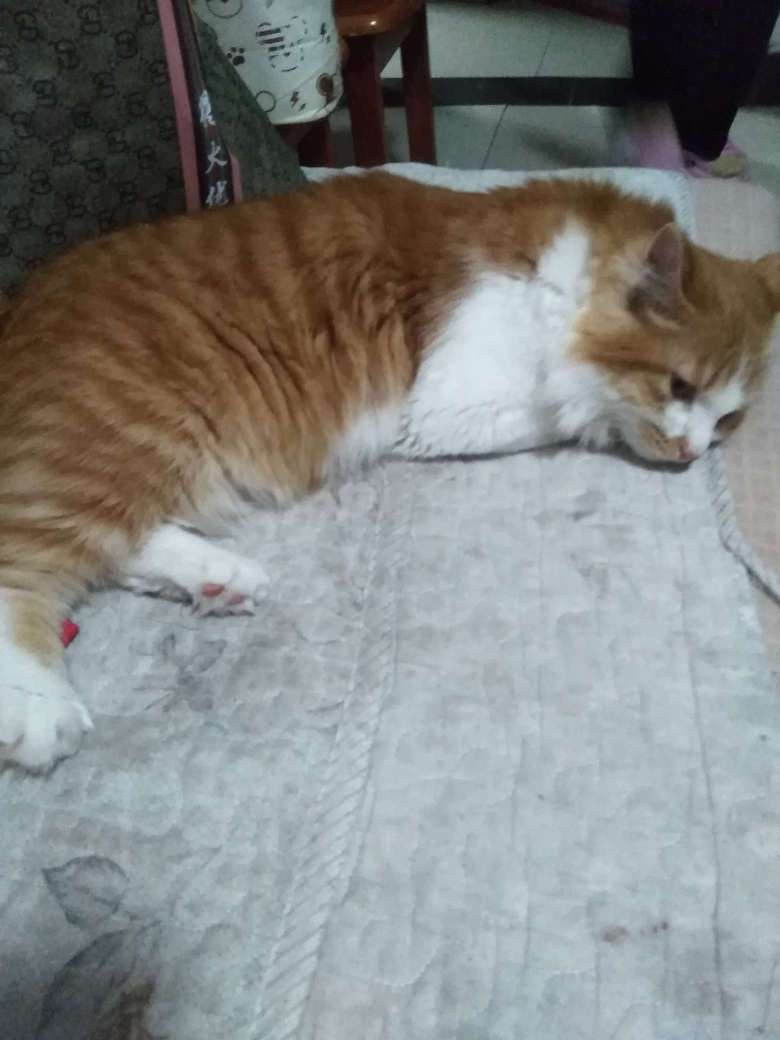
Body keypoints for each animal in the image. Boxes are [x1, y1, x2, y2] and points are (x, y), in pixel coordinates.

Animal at [1, 171, 778, 772]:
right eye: (679, 386)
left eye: (727, 420)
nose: (690, 455)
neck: (563, 282)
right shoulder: (443, 405)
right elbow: (570, 408)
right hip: (115, 437)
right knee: (30, 558)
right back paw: (40, 706)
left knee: (120, 546)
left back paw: (218, 579)